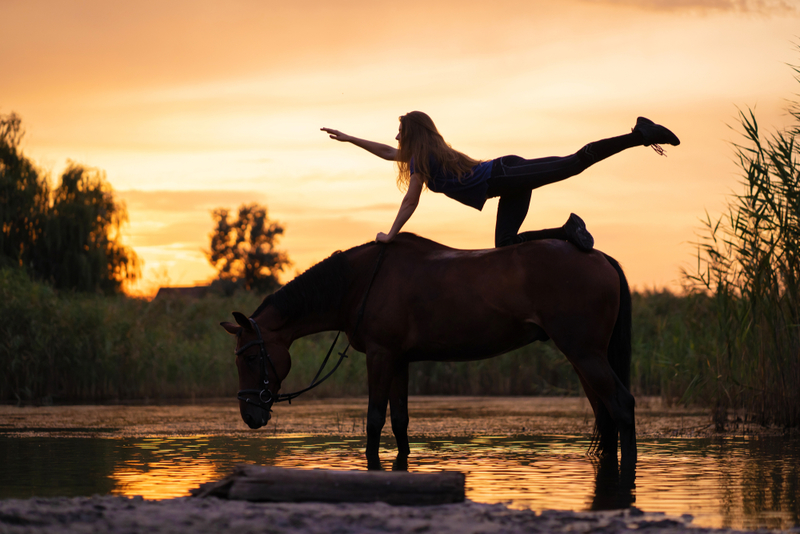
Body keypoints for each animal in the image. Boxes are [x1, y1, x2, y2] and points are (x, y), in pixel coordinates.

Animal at [222, 232, 636, 472]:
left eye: (251, 357)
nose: (250, 415)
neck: (360, 282)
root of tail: (599, 257)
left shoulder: (380, 357)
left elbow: (374, 419)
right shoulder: (399, 361)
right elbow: (400, 421)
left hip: (585, 354)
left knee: (621, 404)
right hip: (584, 359)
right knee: (604, 411)